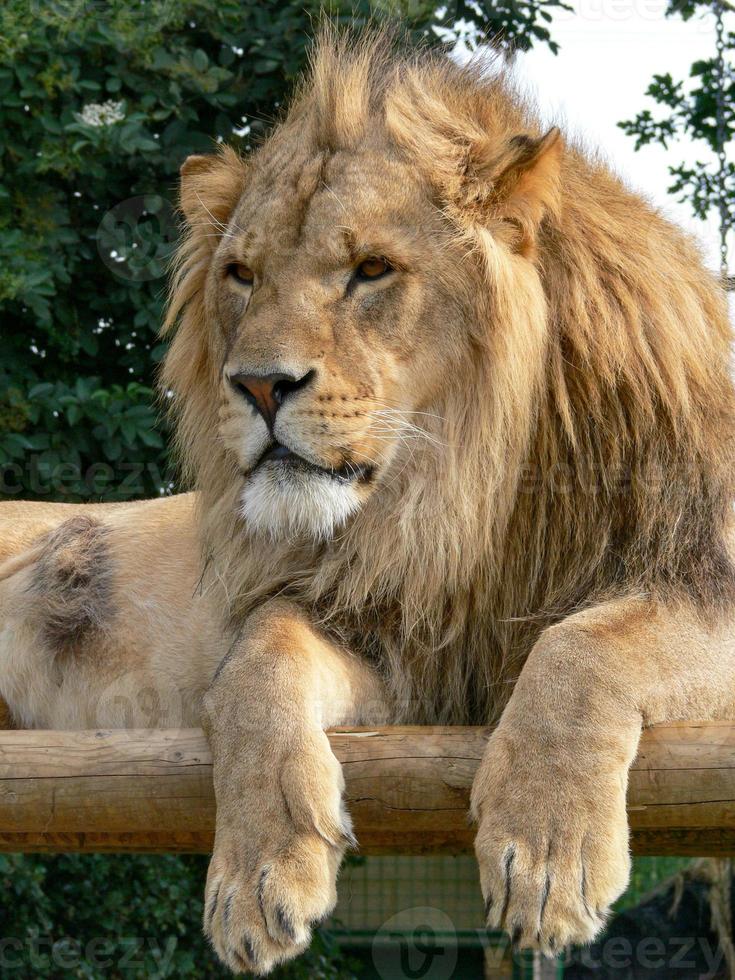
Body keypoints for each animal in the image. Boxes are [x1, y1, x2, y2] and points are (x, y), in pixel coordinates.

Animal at [1, 26, 735, 976]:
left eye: (372, 269)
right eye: (241, 275)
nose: (257, 385)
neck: (468, 493)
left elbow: (584, 645)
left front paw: (545, 852)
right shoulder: (400, 655)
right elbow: (259, 657)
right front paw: (259, 872)